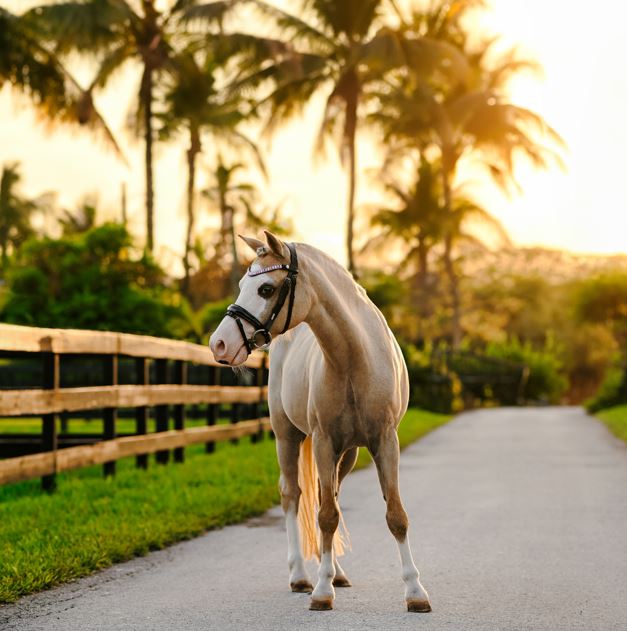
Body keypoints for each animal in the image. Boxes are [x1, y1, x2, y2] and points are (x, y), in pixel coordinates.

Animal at [211, 231, 432, 612]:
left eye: (266, 288)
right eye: (241, 285)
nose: (219, 344)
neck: (354, 357)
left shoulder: (385, 442)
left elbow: (394, 515)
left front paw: (415, 592)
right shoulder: (325, 441)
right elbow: (326, 515)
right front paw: (321, 592)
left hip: (348, 454)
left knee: (329, 498)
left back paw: (336, 573)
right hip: (287, 436)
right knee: (293, 495)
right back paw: (301, 575)